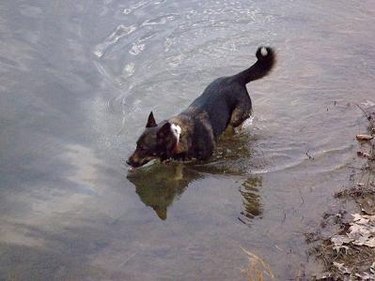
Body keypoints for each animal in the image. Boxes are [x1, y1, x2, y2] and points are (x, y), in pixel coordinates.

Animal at [128, 45, 274, 166]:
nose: (127, 162)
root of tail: (236, 78)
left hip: (237, 117)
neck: (177, 138)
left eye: (143, 148)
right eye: (136, 145)